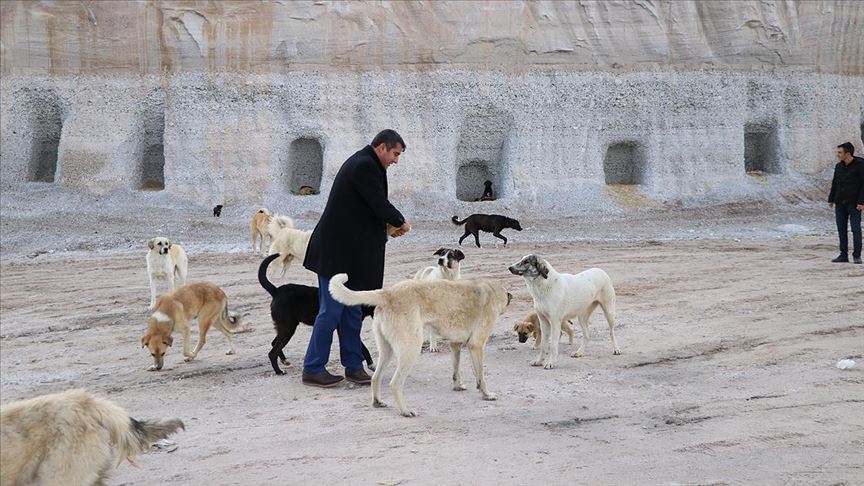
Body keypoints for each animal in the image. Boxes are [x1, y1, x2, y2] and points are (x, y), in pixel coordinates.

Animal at [328, 274, 510, 418]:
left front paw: (458, 386)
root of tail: (388, 293)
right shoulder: (476, 345)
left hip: (387, 351)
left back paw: (378, 402)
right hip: (411, 349)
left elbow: (456, 370)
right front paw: (486, 394)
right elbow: (481, 376)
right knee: (395, 384)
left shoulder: (455, 345)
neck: (491, 290)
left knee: (376, 377)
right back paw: (405, 411)